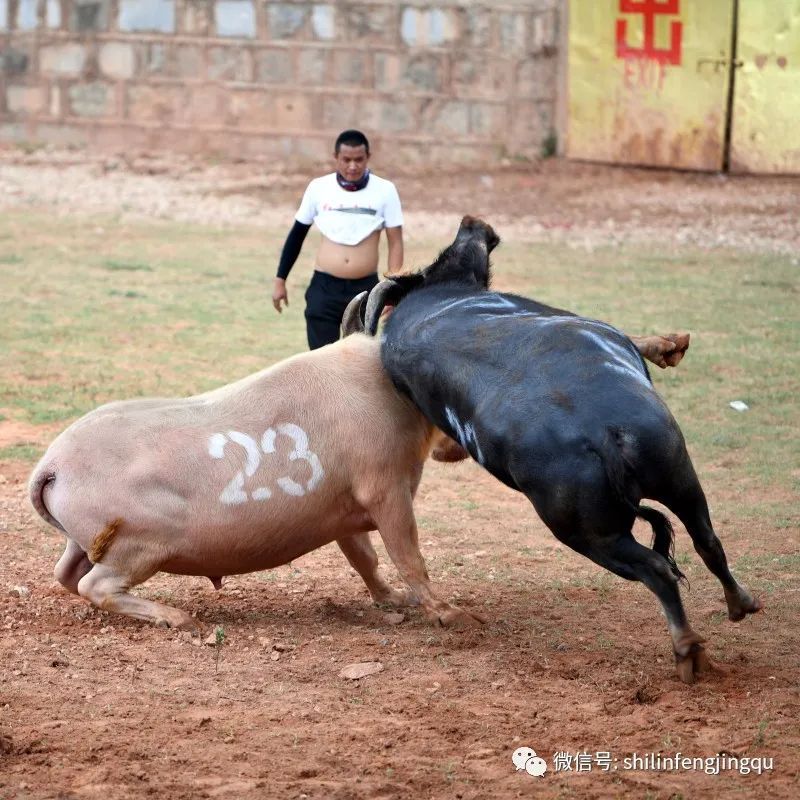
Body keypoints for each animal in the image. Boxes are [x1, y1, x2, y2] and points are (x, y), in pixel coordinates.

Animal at [360, 216, 760, 684]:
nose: (472, 223)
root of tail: (600, 435)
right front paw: (667, 345)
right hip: (604, 525)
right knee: (664, 566)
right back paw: (691, 646)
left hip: (660, 485)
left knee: (703, 543)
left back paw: (734, 608)